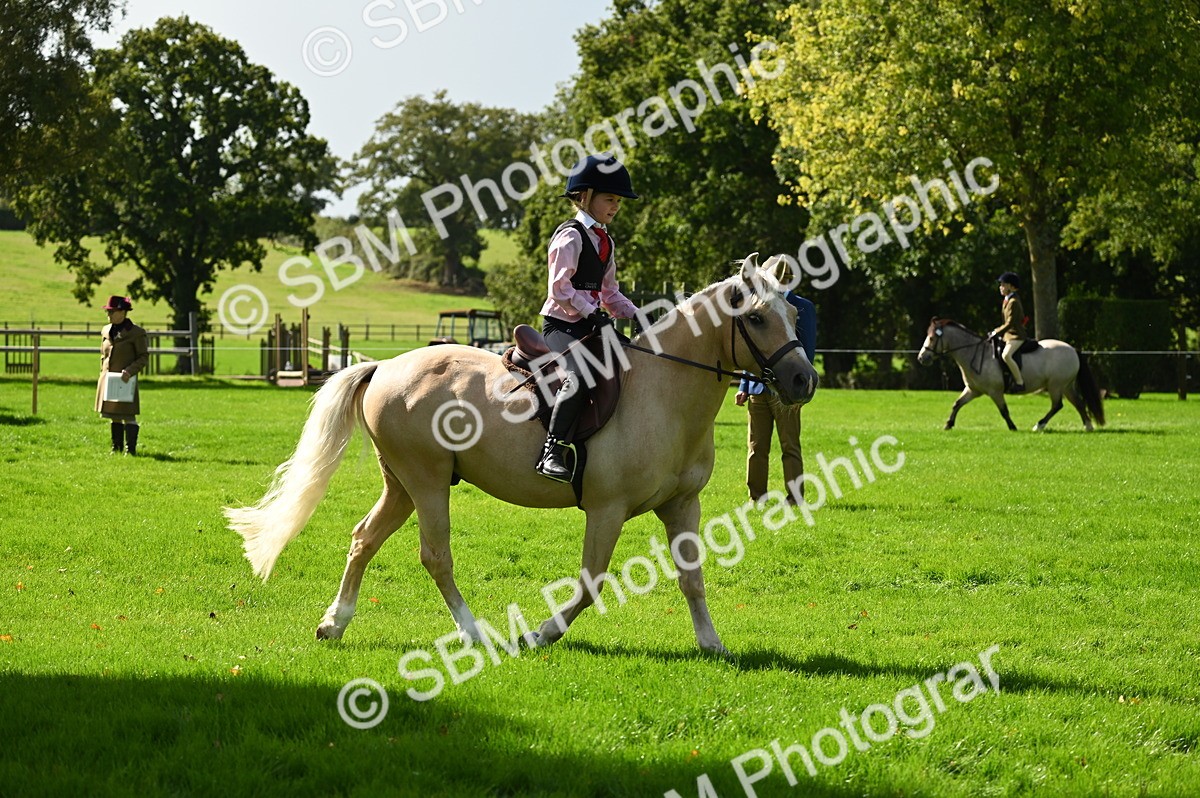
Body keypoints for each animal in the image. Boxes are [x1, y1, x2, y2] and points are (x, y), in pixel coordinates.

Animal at [225, 254, 819, 655]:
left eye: (794, 315)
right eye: (758, 318)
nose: (803, 381)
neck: (664, 392)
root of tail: (385, 366)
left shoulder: (682, 505)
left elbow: (691, 577)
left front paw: (712, 643)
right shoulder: (607, 509)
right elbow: (590, 582)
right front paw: (540, 632)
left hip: (402, 485)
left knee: (364, 539)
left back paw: (335, 623)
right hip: (427, 481)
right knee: (435, 555)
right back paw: (473, 633)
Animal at [917, 317, 1104, 432]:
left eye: (932, 338)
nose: (922, 358)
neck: (974, 353)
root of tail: (1072, 349)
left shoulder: (995, 391)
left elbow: (1004, 411)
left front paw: (1013, 427)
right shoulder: (973, 390)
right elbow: (957, 404)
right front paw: (948, 424)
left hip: (1056, 386)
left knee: (1057, 405)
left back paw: (1039, 425)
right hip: (1065, 386)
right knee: (1078, 403)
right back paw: (1088, 426)